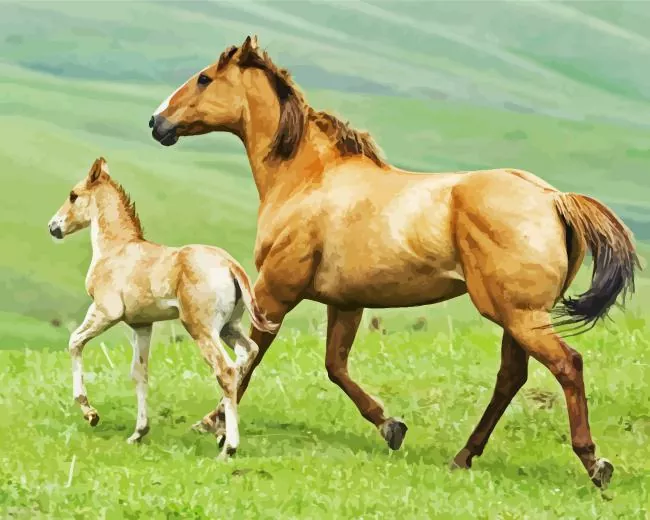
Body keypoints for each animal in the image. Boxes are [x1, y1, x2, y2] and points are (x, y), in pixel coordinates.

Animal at [47, 157, 277, 458]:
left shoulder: (105, 312)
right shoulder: (142, 325)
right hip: (229, 327)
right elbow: (140, 373)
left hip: (201, 329)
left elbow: (74, 342)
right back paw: (218, 426)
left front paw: (90, 413)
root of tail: (230, 265)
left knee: (225, 370)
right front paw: (138, 433)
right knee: (248, 353)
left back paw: (228, 446)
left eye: (73, 195)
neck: (116, 249)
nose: (54, 227)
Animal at [149, 35, 639, 488]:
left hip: (520, 315)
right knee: (511, 377)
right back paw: (463, 456)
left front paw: (213, 424)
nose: (157, 122)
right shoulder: (345, 302)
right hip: (515, 316)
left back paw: (594, 463)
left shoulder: (275, 291)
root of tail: (553, 198)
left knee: (567, 365)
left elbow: (249, 358)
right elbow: (335, 366)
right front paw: (391, 426)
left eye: (204, 78)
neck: (306, 179)